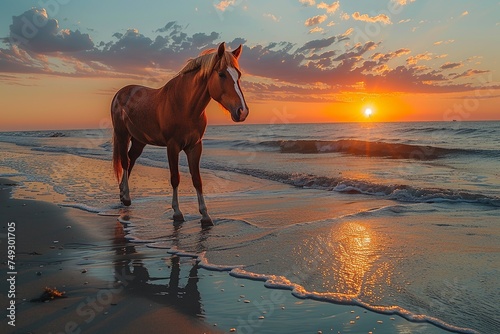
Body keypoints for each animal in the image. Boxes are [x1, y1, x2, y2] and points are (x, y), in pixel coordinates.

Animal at [111, 41, 248, 224]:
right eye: (221, 74)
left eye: (238, 75)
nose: (242, 111)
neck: (185, 106)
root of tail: (120, 93)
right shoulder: (172, 146)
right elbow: (175, 178)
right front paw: (177, 212)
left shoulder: (195, 146)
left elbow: (197, 180)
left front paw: (205, 215)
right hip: (122, 135)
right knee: (125, 162)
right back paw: (126, 197)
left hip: (139, 140)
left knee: (131, 159)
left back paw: (122, 193)